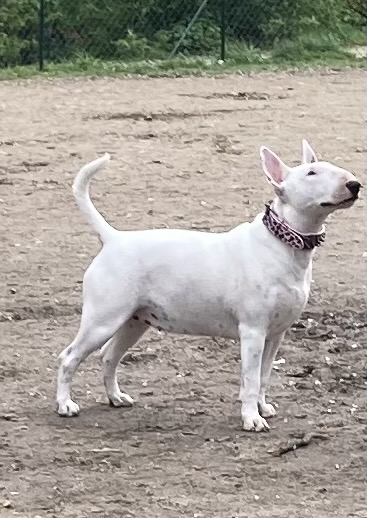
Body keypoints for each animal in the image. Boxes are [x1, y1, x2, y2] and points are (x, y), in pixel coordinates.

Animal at [56, 140, 362, 432]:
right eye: (311, 173)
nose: (355, 184)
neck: (281, 244)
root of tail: (113, 238)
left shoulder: (276, 334)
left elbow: (263, 377)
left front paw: (262, 408)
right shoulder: (253, 332)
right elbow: (251, 379)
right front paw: (252, 419)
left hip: (134, 322)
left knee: (109, 356)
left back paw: (116, 397)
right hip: (103, 320)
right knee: (68, 357)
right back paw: (65, 405)